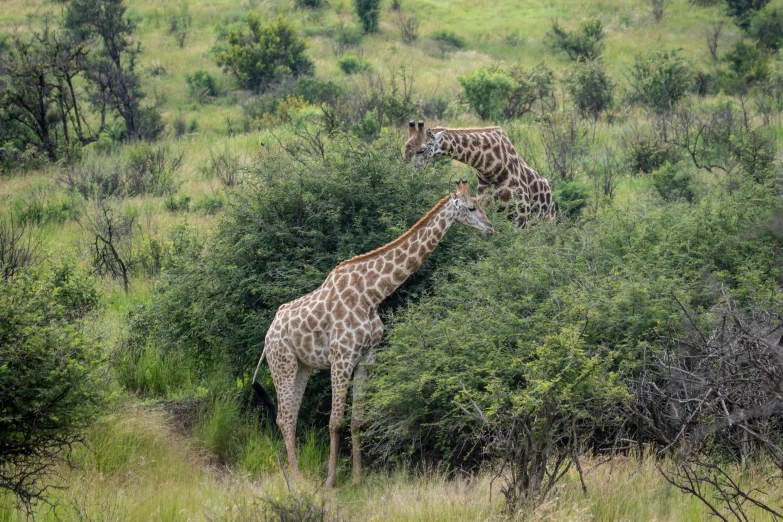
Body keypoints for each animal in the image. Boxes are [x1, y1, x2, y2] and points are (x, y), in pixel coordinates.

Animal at [254, 181, 494, 486]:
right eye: (472, 207)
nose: (491, 228)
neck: (371, 294)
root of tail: (268, 334)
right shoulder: (341, 358)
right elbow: (335, 422)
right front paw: (331, 482)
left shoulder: (366, 358)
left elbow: (357, 420)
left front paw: (358, 478)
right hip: (281, 363)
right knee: (283, 418)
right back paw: (296, 480)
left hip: (302, 367)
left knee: (292, 416)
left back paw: (298, 476)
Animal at [404, 123, 556, 229]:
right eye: (405, 147)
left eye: (421, 150)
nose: (405, 172)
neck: (490, 168)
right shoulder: (485, 207)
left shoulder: (520, 215)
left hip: (545, 221)